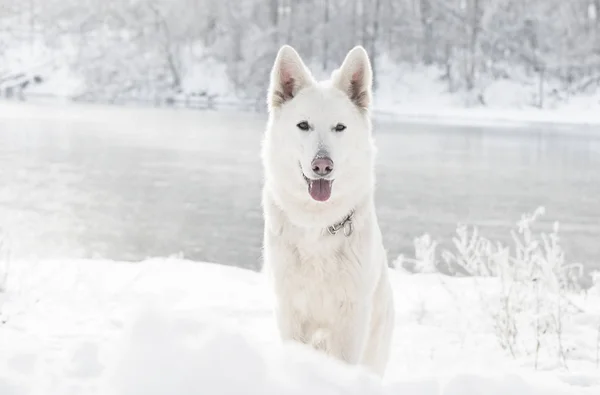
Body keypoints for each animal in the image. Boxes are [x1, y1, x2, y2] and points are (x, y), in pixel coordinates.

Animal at [262, 44, 394, 378]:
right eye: (303, 125)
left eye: (339, 128)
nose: (322, 165)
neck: (317, 228)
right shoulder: (290, 310)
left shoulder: (350, 318)